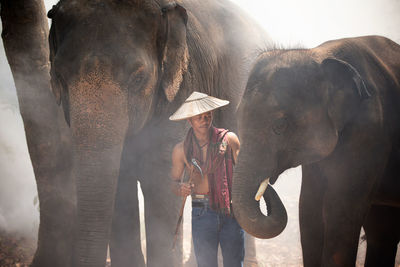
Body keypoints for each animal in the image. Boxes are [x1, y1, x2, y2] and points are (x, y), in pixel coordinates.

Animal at [231, 36, 400, 267]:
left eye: (280, 125)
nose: (266, 186)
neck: (319, 54)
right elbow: (309, 212)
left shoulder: (370, 133)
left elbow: (339, 214)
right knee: (382, 232)